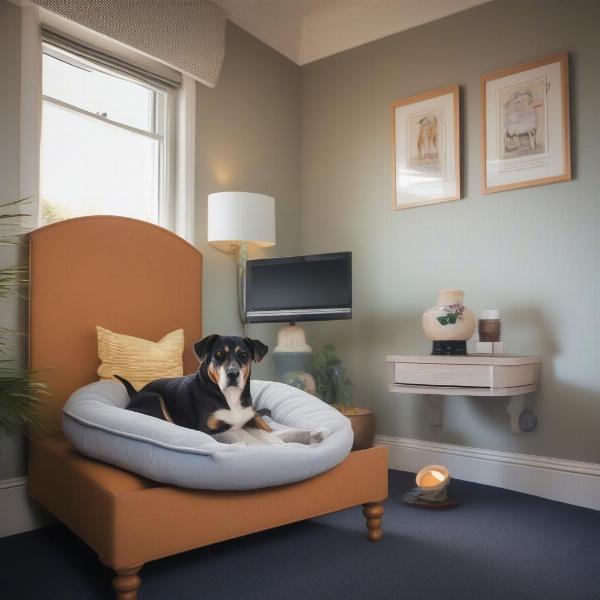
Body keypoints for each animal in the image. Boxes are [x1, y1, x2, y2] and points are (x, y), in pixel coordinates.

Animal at [116, 336, 324, 442]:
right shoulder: (209, 427)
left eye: (244, 355)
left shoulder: (251, 417)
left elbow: (269, 429)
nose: (232, 373)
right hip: (153, 397)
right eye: (218, 355)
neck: (230, 397)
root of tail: (136, 392)